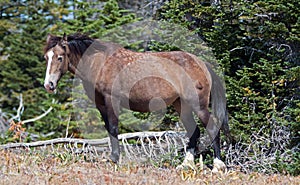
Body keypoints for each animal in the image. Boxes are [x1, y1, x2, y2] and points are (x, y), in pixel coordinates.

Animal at [42, 33, 231, 172]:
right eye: (46, 57)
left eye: (60, 57)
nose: (48, 85)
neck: (100, 63)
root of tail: (201, 63)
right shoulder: (101, 105)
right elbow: (109, 129)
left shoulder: (111, 100)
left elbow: (113, 128)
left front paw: (115, 159)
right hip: (181, 105)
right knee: (194, 131)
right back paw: (186, 164)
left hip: (198, 105)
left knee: (212, 127)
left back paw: (217, 166)